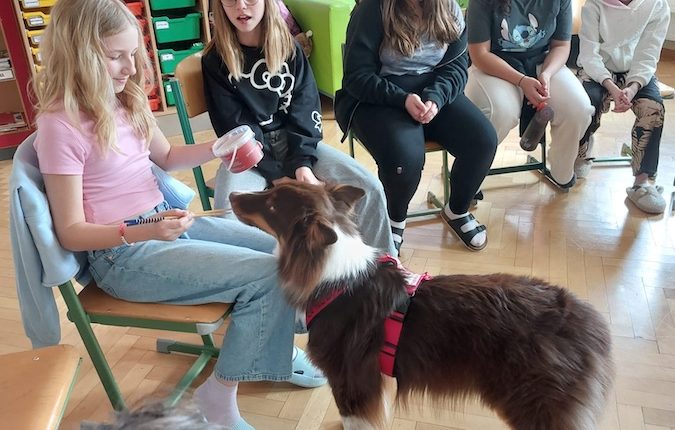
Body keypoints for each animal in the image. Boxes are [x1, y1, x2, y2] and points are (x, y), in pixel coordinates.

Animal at [230, 182, 614, 430]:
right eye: (273, 186)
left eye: (273, 204)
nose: (232, 194)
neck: (333, 275)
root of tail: (587, 322)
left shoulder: (349, 379)